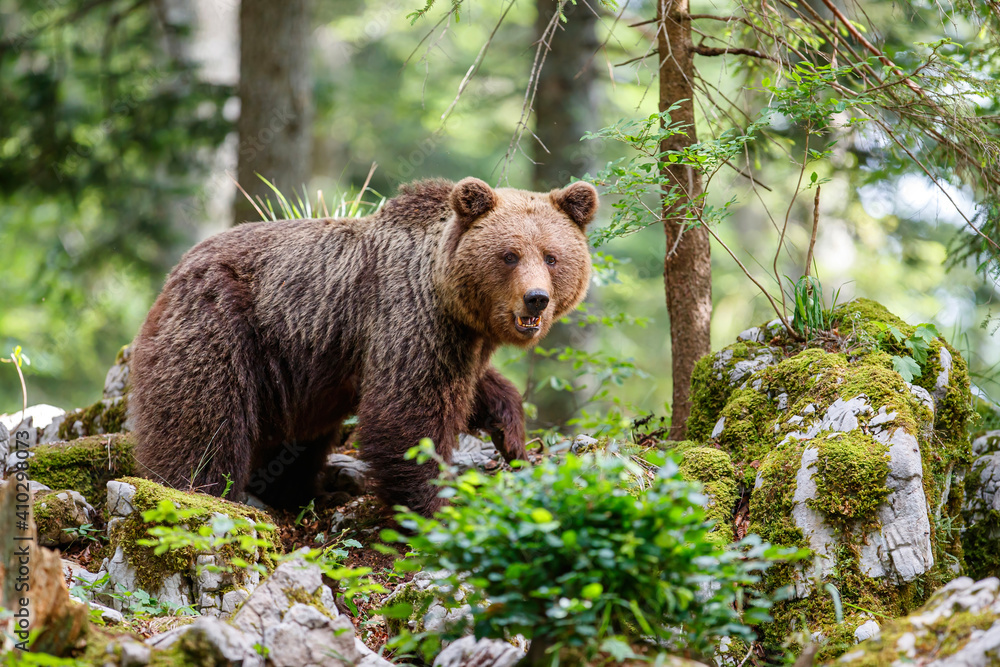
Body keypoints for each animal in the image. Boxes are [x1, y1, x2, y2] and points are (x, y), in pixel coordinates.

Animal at [128, 177, 598, 516]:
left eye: (552, 256)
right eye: (509, 255)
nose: (536, 298)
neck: (449, 296)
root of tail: (177, 271)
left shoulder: (457, 341)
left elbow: (476, 388)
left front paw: (512, 435)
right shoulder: (408, 317)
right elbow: (407, 415)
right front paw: (432, 505)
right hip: (223, 325)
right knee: (204, 421)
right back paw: (198, 491)